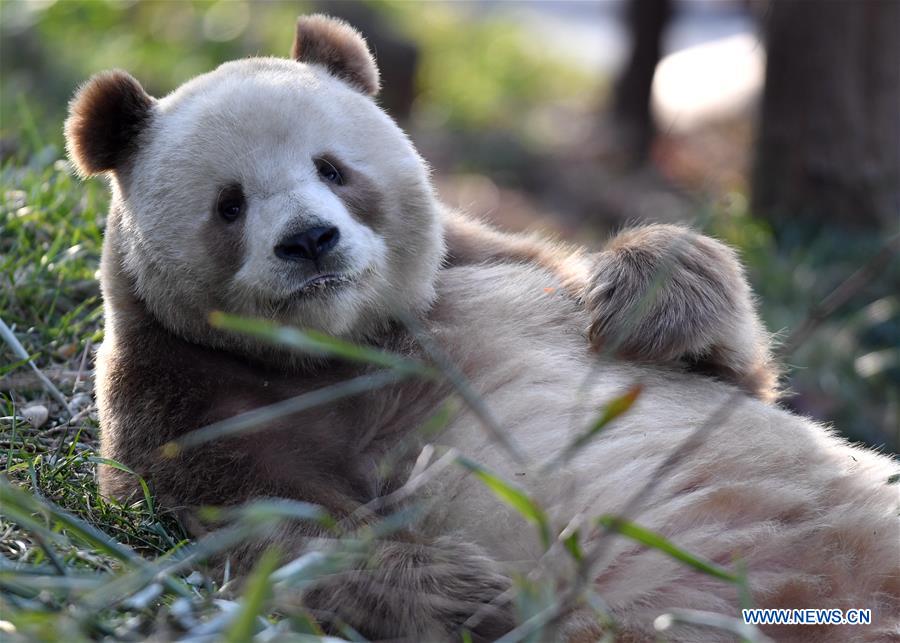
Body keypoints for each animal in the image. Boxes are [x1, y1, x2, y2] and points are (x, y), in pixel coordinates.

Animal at [63, 12, 892, 640]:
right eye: (229, 205)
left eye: (332, 168)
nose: (309, 241)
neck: (340, 343)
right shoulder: (184, 402)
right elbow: (271, 536)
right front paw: (467, 591)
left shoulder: (495, 267)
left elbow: (730, 370)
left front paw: (648, 297)